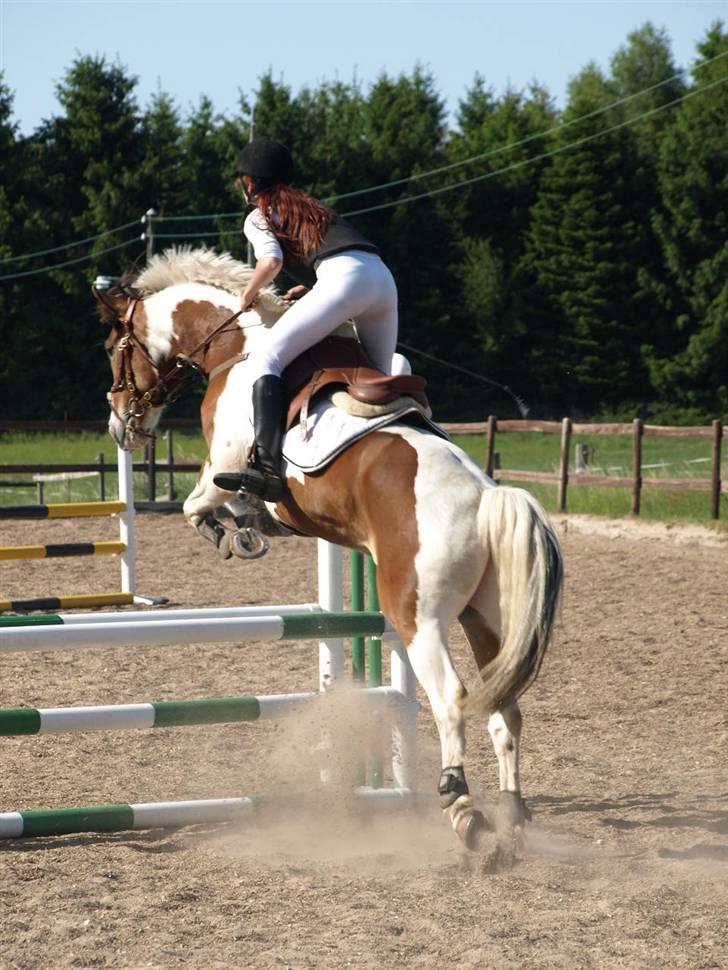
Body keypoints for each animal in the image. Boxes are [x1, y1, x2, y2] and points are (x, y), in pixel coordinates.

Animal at [96, 246, 564, 864]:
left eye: (114, 350)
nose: (120, 426)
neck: (236, 345)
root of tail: (489, 498)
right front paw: (247, 528)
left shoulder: (223, 466)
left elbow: (200, 505)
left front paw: (235, 534)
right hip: (487, 617)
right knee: (504, 710)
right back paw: (511, 821)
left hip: (417, 617)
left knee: (452, 698)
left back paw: (463, 808)